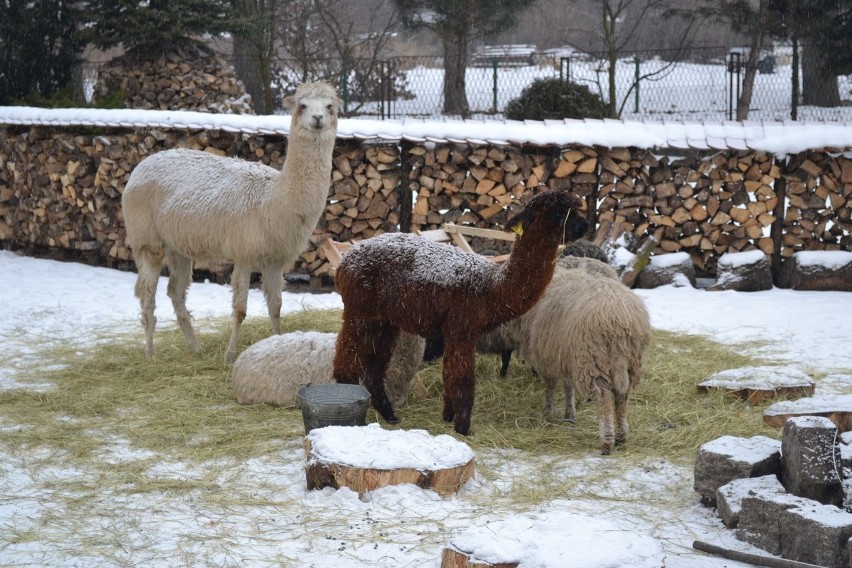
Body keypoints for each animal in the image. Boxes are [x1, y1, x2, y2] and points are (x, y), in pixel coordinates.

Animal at [123, 80, 342, 362]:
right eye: (302, 105)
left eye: (330, 106)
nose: (317, 119)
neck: (272, 201)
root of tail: (139, 168)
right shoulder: (244, 253)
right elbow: (240, 310)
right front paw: (229, 355)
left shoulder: (274, 258)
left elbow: (276, 307)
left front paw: (278, 343)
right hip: (147, 240)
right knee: (147, 293)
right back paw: (150, 353)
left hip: (179, 246)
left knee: (175, 292)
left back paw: (195, 347)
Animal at [330, 191, 588, 434]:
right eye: (559, 213)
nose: (585, 225)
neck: (491, 286)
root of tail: (345, 261)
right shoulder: (463, 328)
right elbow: (463, 379)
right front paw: (463, 428)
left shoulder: (452, 332)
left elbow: (448, 376)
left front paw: (448, 416)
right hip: (360, 312)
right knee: (346, 363)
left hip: (385, 320)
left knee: (374, 370)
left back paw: (390, 416)